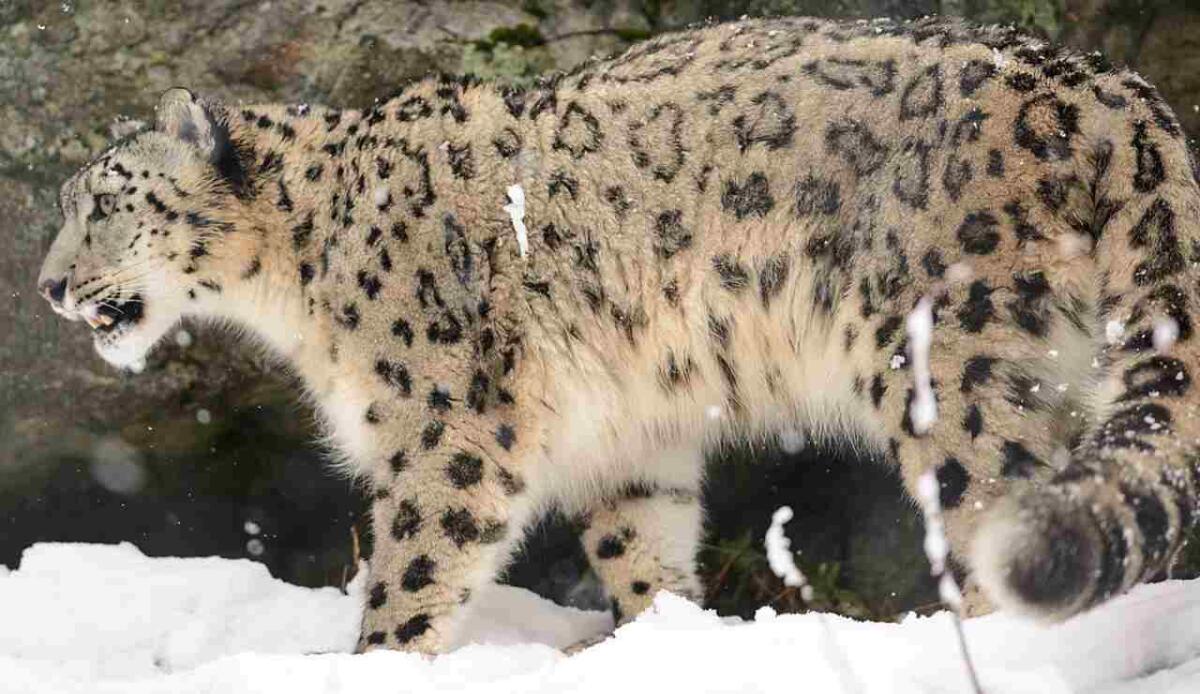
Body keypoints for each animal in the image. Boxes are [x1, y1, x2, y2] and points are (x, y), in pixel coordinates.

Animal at [36, 14, 1200, 653]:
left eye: (104, 203)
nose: (46, 286)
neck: (299, 289)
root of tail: (1119, 97)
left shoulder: (448, 427)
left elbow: (412, 572)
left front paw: (370, 659)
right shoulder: (629, 437)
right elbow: (640, 548)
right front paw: (668, 640)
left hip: (953, 371)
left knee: (1005, 507)